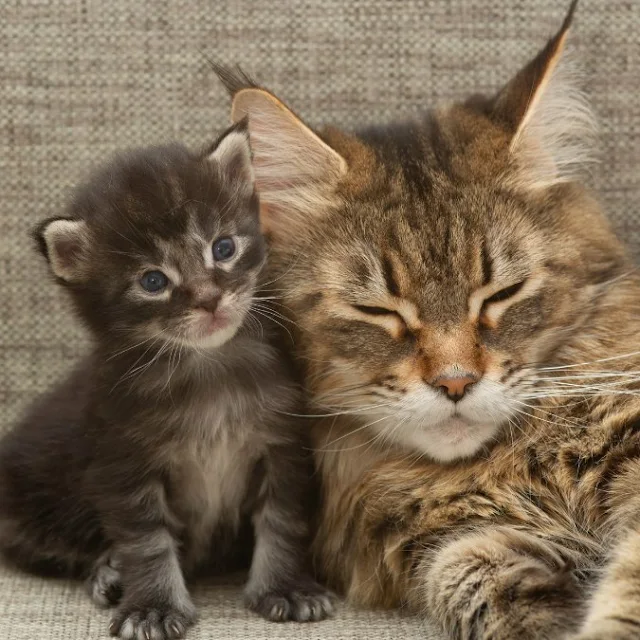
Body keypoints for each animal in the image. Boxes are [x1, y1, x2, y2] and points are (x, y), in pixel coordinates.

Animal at [1, 121, 336, 640]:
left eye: (223, 248)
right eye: (153, 281)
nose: (209, 299)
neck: (211, 374)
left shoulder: (283, 446)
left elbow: (282, 522)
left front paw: (285, 587)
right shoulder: (123, 461)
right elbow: (146, 542)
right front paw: (153, 606)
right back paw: (107, 571)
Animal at [214, 2, 640, 636]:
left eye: (502, 294)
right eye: (376, 310)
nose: (456, 383)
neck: (512, 466)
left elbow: (625, 581)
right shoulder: (447, 541)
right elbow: (461, 572)